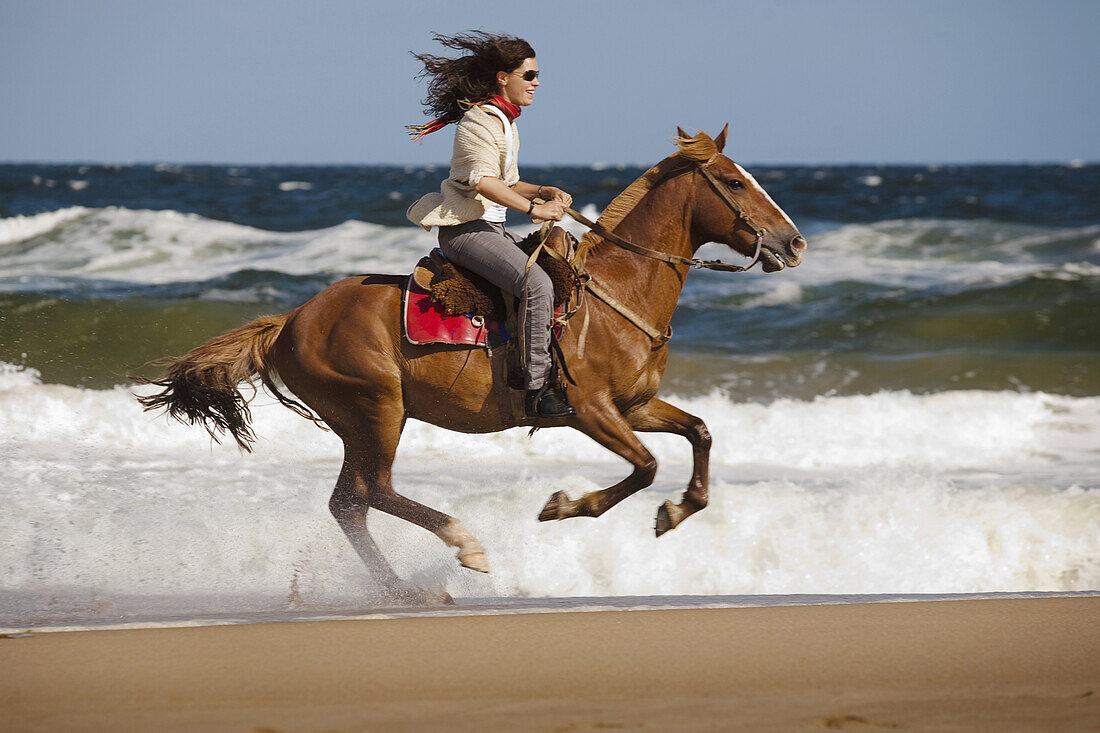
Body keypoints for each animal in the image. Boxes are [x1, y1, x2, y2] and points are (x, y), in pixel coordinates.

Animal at [141, 128, 805, 598]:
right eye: (734, 183)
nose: (794, 242)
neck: (616, 293)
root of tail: (293, 319)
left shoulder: (633, 406)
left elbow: (699, 432)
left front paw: (678, 509)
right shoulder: (588, 409)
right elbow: (644, 467)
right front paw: (566, 506)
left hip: (366, 420)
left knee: (349, 503)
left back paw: (406, 591)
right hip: (377, 409)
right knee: (373, 491)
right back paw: (464, 545)